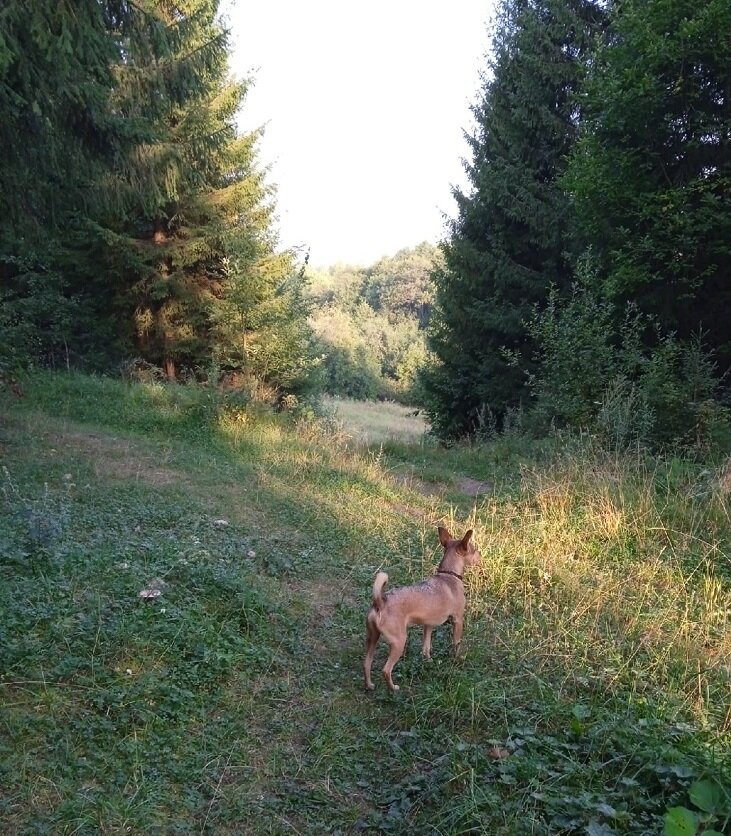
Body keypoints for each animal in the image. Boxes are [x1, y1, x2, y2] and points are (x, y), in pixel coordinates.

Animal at [364, 528, 480, 692]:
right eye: (474, 550)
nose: (480, 555)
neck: (448, 575)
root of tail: (380, 602)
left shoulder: (428, 625)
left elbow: (426, 646)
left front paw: (428, 660)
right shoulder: (458, 620)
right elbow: (456, 643)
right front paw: (457, 659)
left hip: (372, 638)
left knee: (366, 663)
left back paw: (369, 685)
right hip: (399, 641)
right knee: (386, 670)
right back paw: (393, 688)